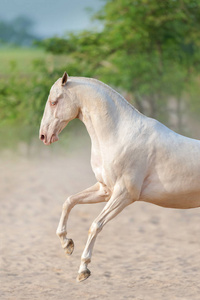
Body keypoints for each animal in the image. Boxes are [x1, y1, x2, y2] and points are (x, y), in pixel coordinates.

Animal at [39, 72, 200, 282]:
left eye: (53, 102)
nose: (43, 136)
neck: (118, 135)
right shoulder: (105, 190)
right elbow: (69, 201)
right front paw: (67, 245)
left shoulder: (124, 195)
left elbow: (95, 225)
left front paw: (83, 270)